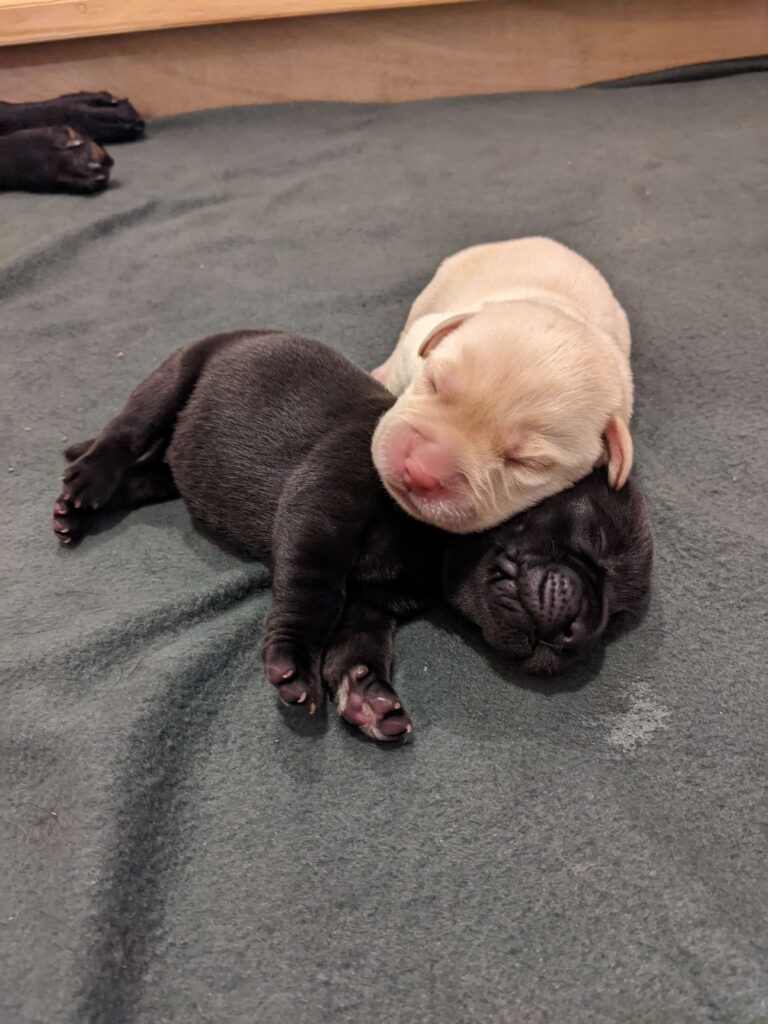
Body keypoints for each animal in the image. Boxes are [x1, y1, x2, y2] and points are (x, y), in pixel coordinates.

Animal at [52, 331, 655, 741]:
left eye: (616, 621)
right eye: (593, 539)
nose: (579, 634)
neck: (430, 548)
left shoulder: (374, 604)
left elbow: (358, 645)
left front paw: (367, 693)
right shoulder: (323, 507)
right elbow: (314, 591)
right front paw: (294, 657)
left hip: (172, 465)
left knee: (145, 476)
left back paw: (85, 504)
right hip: (178, 372)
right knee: (125, 433)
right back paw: (85, 483)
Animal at [370, 234, 630, 532]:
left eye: (527, 463)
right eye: (433, 383)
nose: (418, 471)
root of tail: (544, 240)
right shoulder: (419, 338)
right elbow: (400, 365)